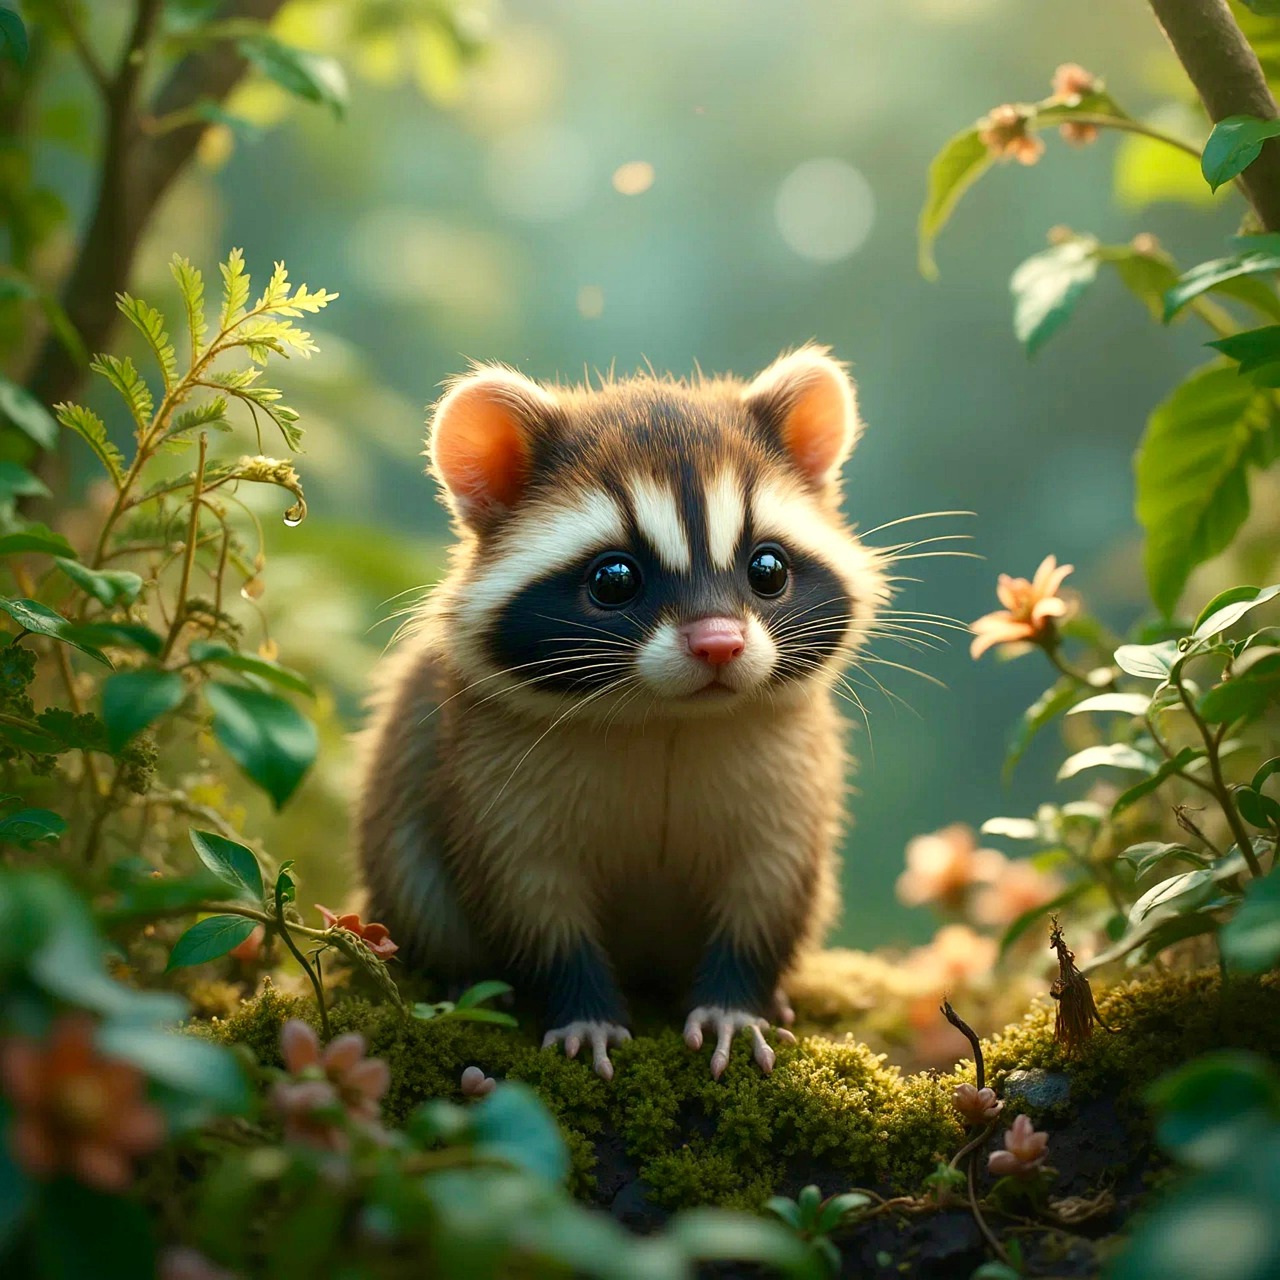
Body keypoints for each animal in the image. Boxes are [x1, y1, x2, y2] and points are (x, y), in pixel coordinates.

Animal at [355, 346, 891, 1079]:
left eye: (768, 570)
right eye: (615, 580)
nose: (720, 644)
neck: (665, 717)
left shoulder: (790, 770)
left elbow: (768, 887)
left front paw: (736, 1001)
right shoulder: (488, 774)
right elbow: (527, 897)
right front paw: (579, 1006)